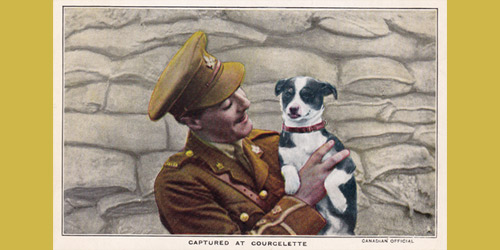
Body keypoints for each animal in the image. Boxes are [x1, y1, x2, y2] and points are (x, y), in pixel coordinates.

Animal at [276, 75, 358, 234]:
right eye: (288, 93)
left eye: (307, 95)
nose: (293, 108)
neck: (302, 132)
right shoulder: (284, 159)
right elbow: (288, 168)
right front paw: (292, 185)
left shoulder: (346, 162)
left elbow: (329, 180)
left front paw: (339, 202)